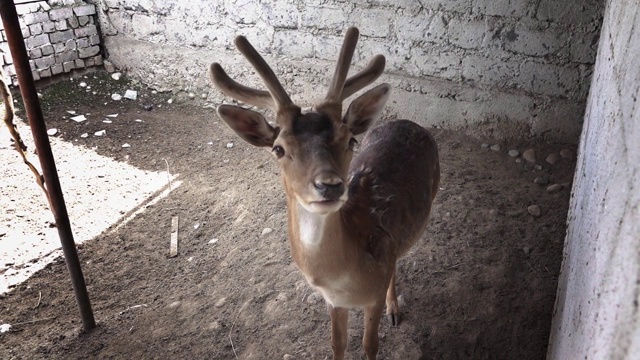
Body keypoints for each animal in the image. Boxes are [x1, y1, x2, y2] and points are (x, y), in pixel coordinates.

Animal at [210, 26, 440, 358]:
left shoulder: (373, 290)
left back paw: (394, 310)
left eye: (350, 140)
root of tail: (409, 122)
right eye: (278, 148)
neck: (343, 278)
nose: (329, 185)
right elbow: (337, 344)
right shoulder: (332, 301)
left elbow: (370, 346)